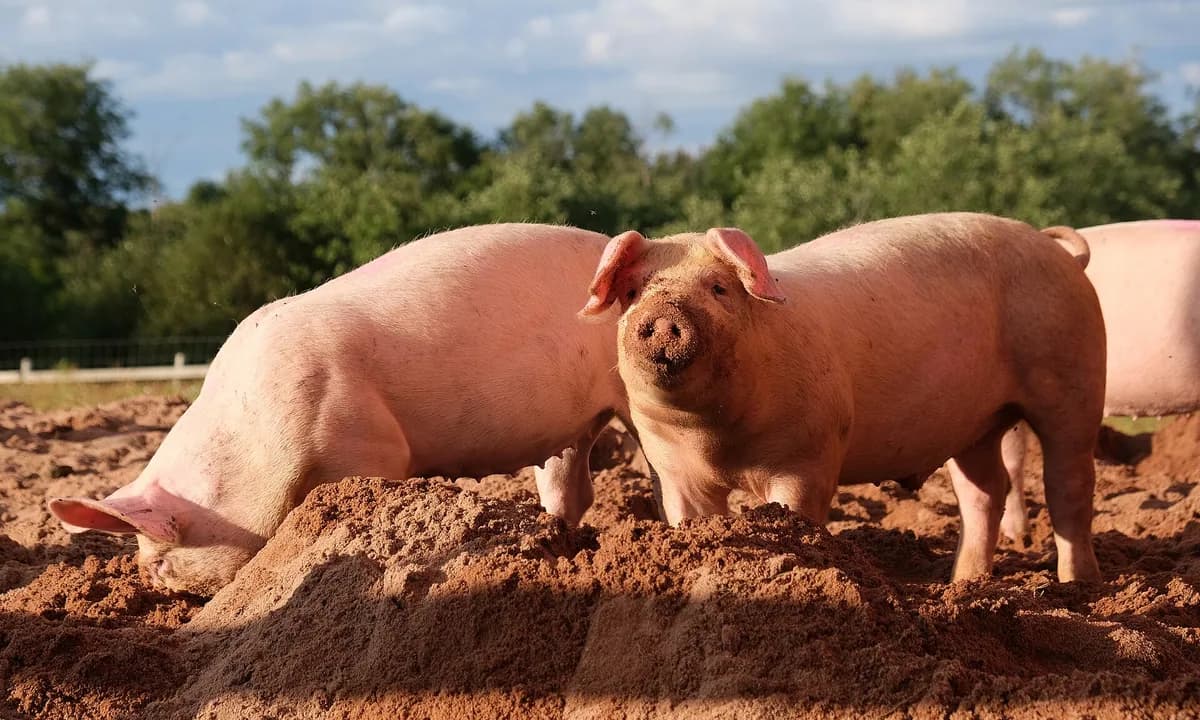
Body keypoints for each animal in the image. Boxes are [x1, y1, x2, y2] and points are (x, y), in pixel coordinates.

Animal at [48, 223, 632, 596]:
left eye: (162, 560)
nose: (154, 585)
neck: (251, 441)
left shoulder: (366, 446)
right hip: (571, 427)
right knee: (573, 488)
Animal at [580, 213, 1106, 582]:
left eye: (719, 288)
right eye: (633, 290)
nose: (663, 315)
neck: (715, 439)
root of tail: (1059, 253)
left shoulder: (808, 455)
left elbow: (797, 516)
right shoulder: (672, 467)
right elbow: (691, 519)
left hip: (1073, 376)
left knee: (1068, 484)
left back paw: (1078, 586)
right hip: (974, 423)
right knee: (985, 490)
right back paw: (963, 582)